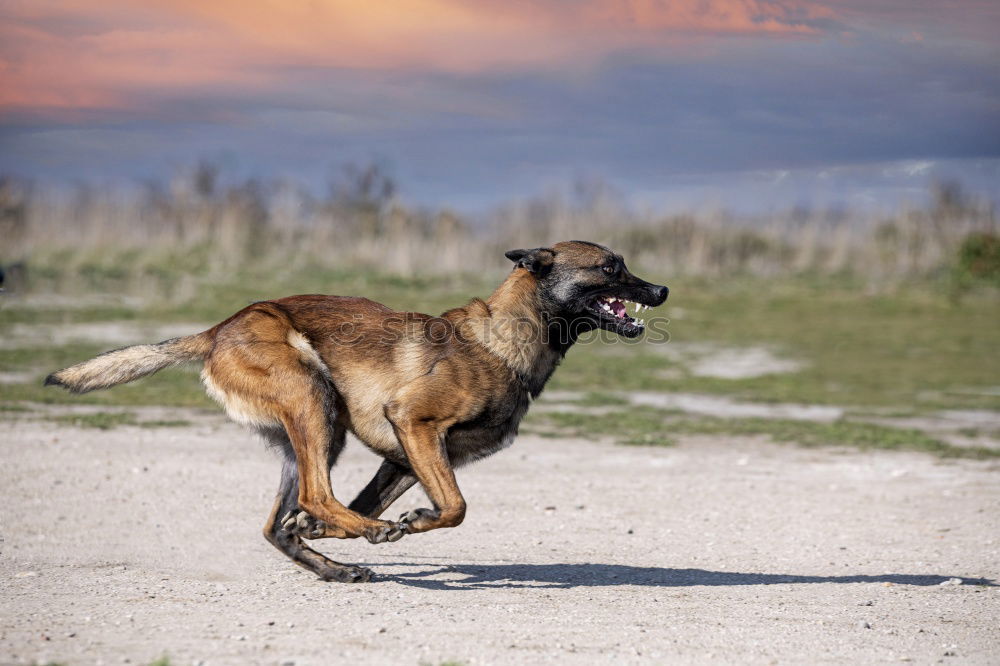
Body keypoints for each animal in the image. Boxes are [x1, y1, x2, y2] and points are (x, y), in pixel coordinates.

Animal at [48, 240, 672, 580]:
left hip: (308, 434)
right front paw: (406, 522)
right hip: (314, 402)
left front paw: (346, 532)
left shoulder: (402, 459)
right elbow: (454, 507)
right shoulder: (416, 426)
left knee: (280, 523)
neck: (500, 344)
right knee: (315, 495)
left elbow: (380, 505)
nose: (663, 290)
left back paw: (337, 566)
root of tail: (219, 328)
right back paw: (365, 535)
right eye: (612, 268)